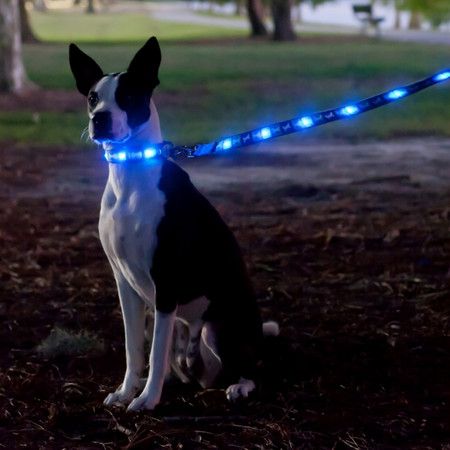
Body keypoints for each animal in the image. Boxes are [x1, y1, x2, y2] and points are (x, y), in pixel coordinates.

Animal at [68, 37, 278, 412]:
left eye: (128, 97)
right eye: (93, 97)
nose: (99, 118)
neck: (131, 177)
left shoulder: (166, 284)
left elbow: (154, 351)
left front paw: (147, 401)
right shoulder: (125, 285)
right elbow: (135, 348)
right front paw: (126, 391)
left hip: (216, 328)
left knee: (251, 368)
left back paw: (239, 386)